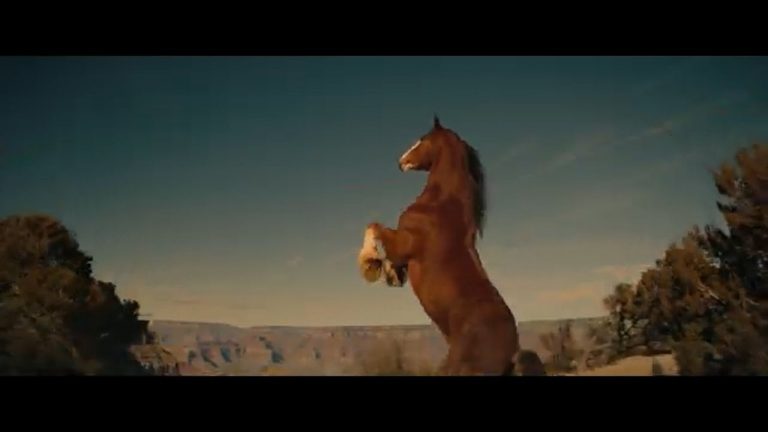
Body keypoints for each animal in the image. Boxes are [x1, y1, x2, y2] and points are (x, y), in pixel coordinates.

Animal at [357, 116, 521, 376]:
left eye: (422, 139)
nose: (400, 162)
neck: (441, 205)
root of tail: (510, 351)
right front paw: (391, 274)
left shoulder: (403, 244)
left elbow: (374, 226)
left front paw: (369, 265)